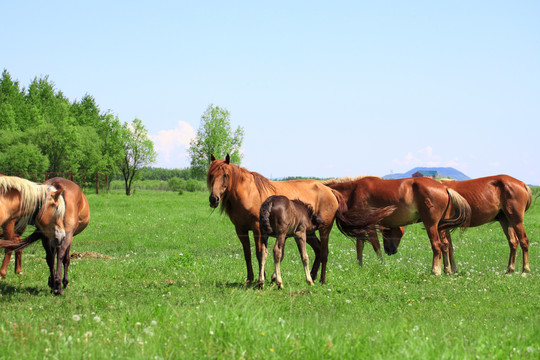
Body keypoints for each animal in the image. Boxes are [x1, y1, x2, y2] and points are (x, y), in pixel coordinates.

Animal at [322, 176, 470, 276]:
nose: (391, 250)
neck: (354, 190)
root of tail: (444, 188)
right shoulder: (361, 224)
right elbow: (360, 246)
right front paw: (359, 265)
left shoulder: (370, 225)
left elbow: (375, 245)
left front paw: (382, 265)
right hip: (441, 226)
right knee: (445, 245)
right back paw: (447, 270)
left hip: (431, 225)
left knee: (437, 245)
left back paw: (435, 271)